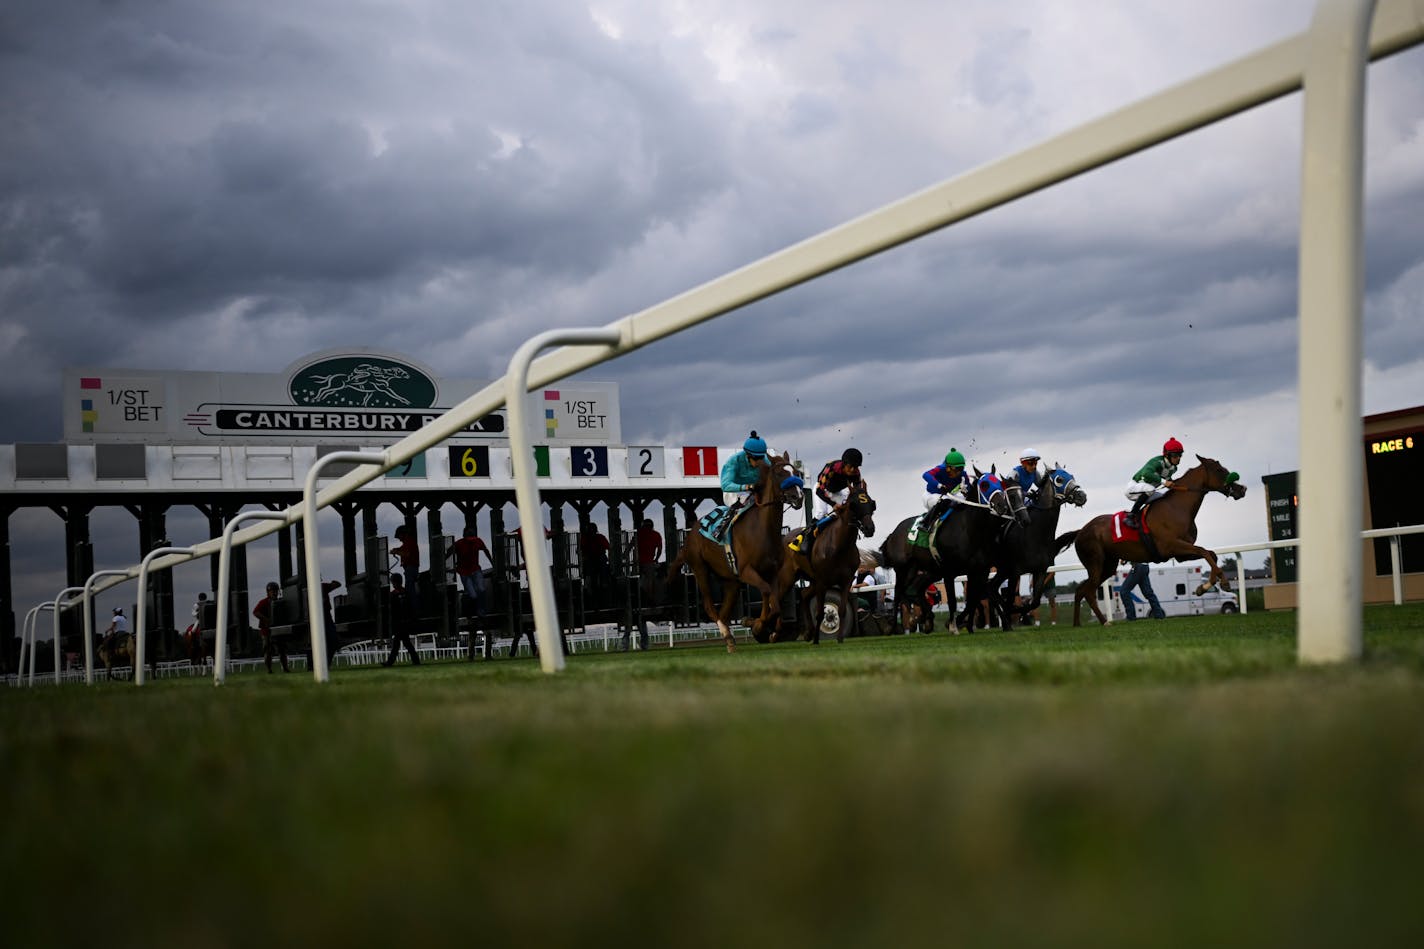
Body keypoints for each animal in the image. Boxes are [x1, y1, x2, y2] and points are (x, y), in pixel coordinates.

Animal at [663, 450, 803, 649]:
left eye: (797, 473)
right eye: (779, 473)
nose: (798, 496)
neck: (762, 530)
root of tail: (691, 535)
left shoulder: (772, 572)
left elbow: (774, 602)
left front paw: (768, 628)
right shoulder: (746, 571)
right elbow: (767, 595)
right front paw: (757, 624)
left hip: (730, 582)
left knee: (724, 611)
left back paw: (729, 636)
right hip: (700, 568)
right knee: (709, 606)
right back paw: (726, 635)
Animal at [774, 487, 871, 644]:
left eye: (871, 504)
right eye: (855, 505)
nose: (870, 528)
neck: (840, 546)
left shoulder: (846, 581)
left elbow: (842, 610)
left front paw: (839, 638)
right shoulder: (822, 581)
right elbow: (820, 612)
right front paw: (816, 640)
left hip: (811, 578)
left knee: (804, 595)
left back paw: (808, 632)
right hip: (787, 577)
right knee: (778, 598)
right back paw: (773, 631)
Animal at [871, 473, 1030, 635]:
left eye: (999, 485)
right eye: (985, 485)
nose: (1001, 507)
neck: (970, 529)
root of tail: (893, 533)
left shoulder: (980, 570)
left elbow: (974, 597)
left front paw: (969, 625)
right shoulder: (950, 571)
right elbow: (955, 600)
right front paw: (955, 626)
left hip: (924, 570)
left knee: (915, 589)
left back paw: (926, 620)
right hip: (903, 569)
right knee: (898, 593)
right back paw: (892, 626)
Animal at [991, 464, 1087, 626]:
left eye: (1072, 476)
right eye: (1059, 480)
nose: (1082, 496)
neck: (1034, 533)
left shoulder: (1040, 570)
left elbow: (1034, 602)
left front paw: (1021, 612)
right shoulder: (1014, 572)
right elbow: (1011, 601)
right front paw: (1015, 613)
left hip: (1000, 571)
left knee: (990, 587)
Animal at [1059, 455, 1247, 624]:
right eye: (1220, 470)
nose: (1242, 489)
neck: (1177, 508)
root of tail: (1081, 531)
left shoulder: (1181, 554)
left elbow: (1211, 554)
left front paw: (1205, 586)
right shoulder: (1172, 546)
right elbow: (1204, 552)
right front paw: (1220, 583)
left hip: (1108, 565)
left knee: (1080, 590)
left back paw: (1077, 624)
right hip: (1096, 564)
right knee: (1089, 592)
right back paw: (1104, 621)